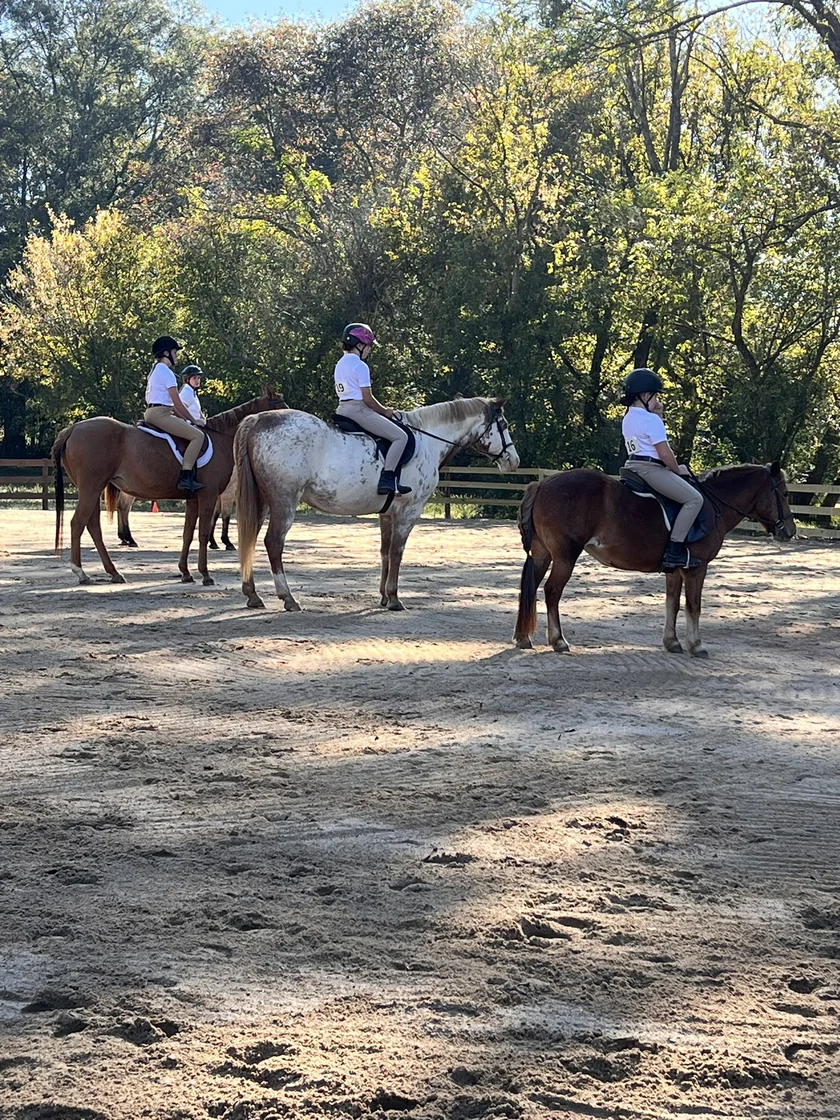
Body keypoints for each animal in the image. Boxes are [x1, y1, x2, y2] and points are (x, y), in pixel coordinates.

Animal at [52, 389, 285, 586]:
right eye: (280, 405)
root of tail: (73, 428)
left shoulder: (193, 498)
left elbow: (188, 533)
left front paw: (186, 572)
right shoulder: (208, 496)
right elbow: (202, 533)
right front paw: (206, 574)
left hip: (92, 489)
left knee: (93, 526)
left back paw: (114, 572)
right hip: (91, 488)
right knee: (78, 523)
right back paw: (82, 573)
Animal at [234, 396, 519, 612]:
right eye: (504, 425)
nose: (514, 461)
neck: (427, 440)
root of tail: (259, 419)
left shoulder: (388, 513)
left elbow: (384, 551)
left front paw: (383, 596)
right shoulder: (409, 510)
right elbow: (397, 552)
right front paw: (393, 598)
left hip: (263, 501)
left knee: (250, 539)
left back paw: (253, 595)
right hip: (284, 501)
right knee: (273, 542)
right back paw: (288, 598)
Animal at [513, 462, 796, 658]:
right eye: (784, 493)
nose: (790, 531)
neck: (713, 504)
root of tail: (541, 485)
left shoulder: (675, 570)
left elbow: (672, 604)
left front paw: (672, 642)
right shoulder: (697, 569)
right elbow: (694, 606)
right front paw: (697, 645)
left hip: (542, 554)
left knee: (531, 587)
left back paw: (523, 637)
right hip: (565, 556)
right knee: (552, 591)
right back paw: (558, 641)